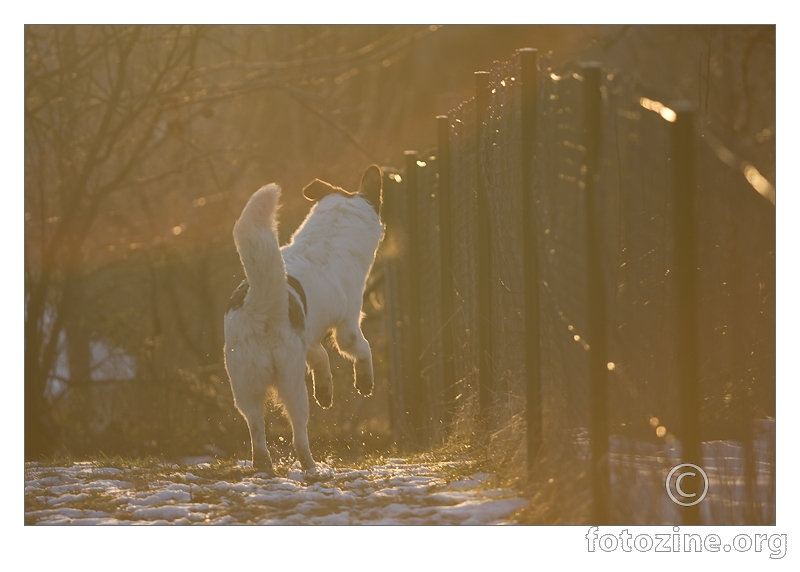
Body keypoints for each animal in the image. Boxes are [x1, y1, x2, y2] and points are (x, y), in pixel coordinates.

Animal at [223, 164, 386, 474]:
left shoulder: (308, 340)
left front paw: (325, 390)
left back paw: (264, 465)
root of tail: (259, 306)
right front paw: (365, 382)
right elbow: (362, 349)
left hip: (245, 384)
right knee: (298, 434)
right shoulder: (347, 327)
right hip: (291, 384)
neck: (329, 236)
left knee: (256, 429)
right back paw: (310, 465)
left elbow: (320, 359)